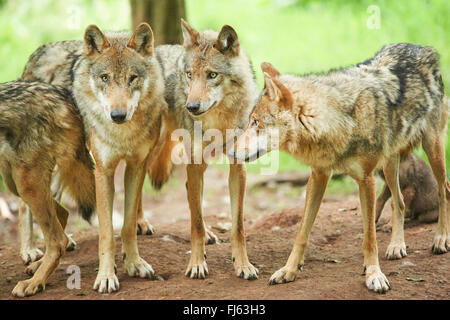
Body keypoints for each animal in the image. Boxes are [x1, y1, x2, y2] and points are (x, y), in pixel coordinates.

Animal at [0, 80, 95, 298]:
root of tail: (63, 94)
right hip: (15, 182)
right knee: (63, 216)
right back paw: (38, 266)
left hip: (26, 182)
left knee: (58, 239)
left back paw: (34, 282)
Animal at [230, 43, 448, 294]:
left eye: (255, 122)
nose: (230, 151)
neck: (337, 121)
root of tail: (423, 47)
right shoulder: (318, 175)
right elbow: (301, 232)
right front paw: (289, 270)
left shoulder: (366, 179)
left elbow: (369, 238)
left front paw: (374, 275)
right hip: (391, 163)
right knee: (400, 202)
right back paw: (396, 246)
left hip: (432, 148)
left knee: (444, 190)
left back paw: (441, 239)